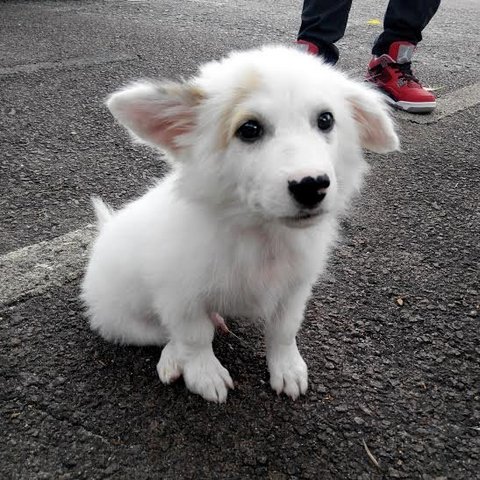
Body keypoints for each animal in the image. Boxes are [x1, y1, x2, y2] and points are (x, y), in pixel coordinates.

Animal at [80, 47, 400, 404]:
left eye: (326, 120)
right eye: (249, 129)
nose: (312, 185)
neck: (260, 233)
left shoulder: (294, 290)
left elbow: (284, 331)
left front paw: (287, 368)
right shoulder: (180, 296)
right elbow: (195, 337)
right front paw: (205, 374)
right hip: (125, 322)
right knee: (166, 335)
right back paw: (173, 359)